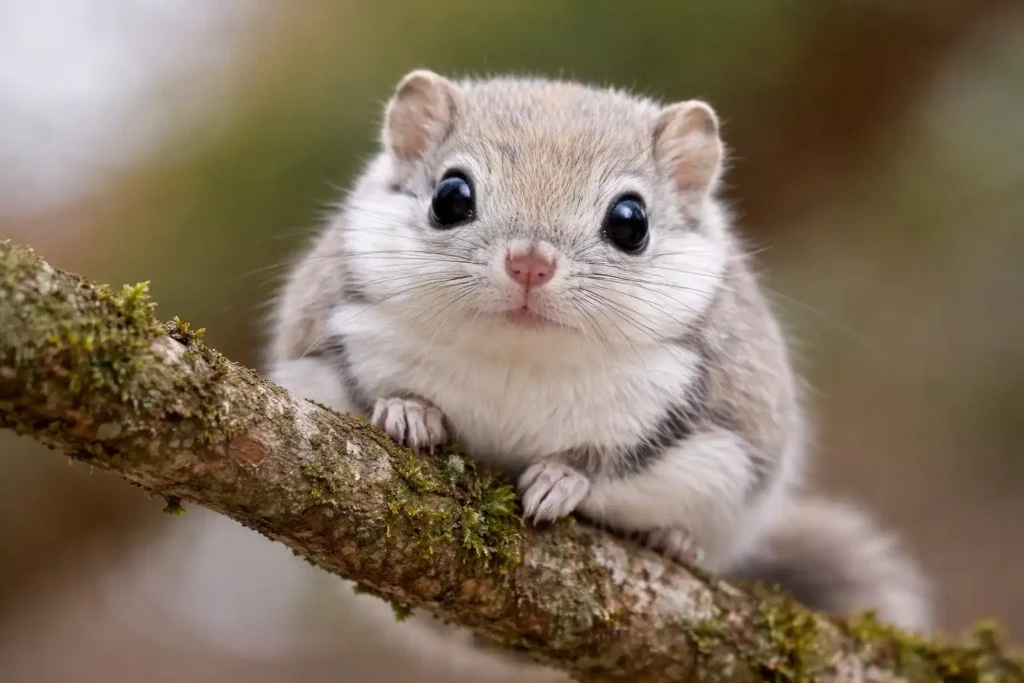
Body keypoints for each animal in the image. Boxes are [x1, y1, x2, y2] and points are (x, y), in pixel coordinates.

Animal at [264, 69, 932, 634]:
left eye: (631, 221)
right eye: (450, 196)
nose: (529, 263)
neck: (520, 357)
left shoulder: (694, 403)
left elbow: (613, 460)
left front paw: (564, 480)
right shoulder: (327, 333)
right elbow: (366, 389)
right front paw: (409, 411)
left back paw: (675, 541)